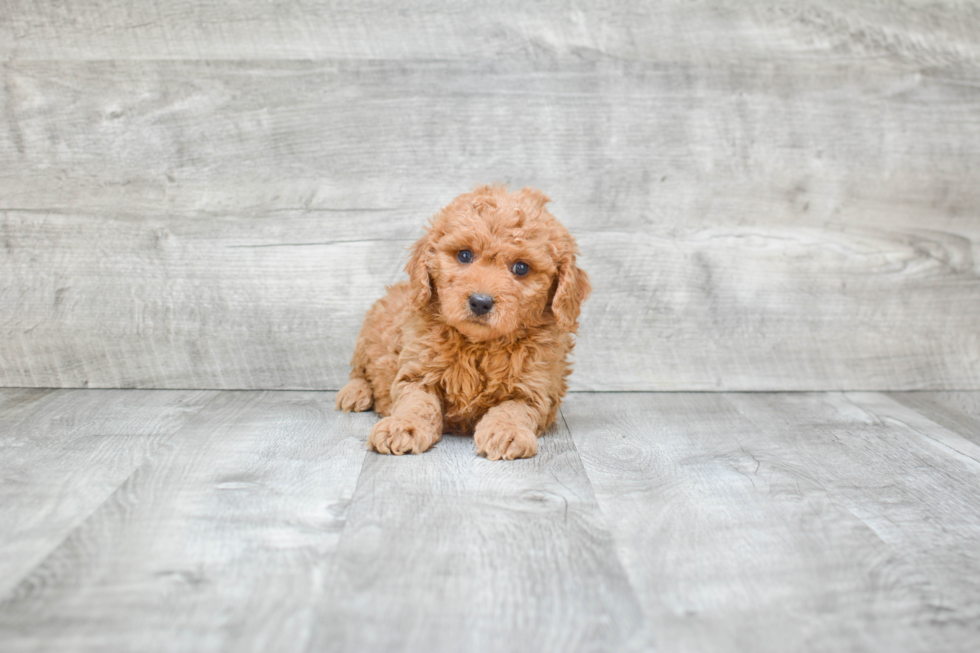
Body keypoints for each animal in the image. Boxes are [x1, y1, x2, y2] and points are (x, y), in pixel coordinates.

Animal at [334, 183, 592, 458]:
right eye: (465, 255)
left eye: (521, 268)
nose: (480, 302)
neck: (478, 345)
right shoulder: (416, 374)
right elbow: (417, 403)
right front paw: (403, 426)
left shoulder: (536, 389)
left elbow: (514, 409)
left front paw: (506, 432)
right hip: (367, 334)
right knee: (358, 372)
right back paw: (354, 392)